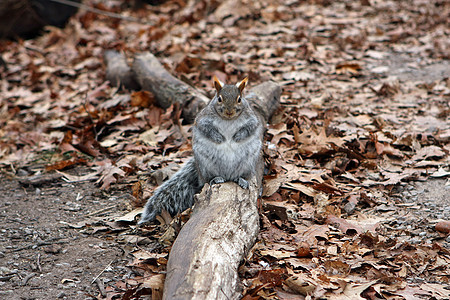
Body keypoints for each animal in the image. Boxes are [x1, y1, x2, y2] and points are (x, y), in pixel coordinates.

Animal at [140, 76, 264, 224]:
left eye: (239, 99)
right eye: (219, 99)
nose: (229, 111)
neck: (228, 120)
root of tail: (228, 176)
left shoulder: (252, 119)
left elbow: (249, 128)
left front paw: (237, 136)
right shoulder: (202, 119)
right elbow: (206, 129)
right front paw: (219, 138)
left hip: (248, 163)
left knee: (242, 175)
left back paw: (242, 180)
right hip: (206, 166)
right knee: (207, 180)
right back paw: (215, 179)